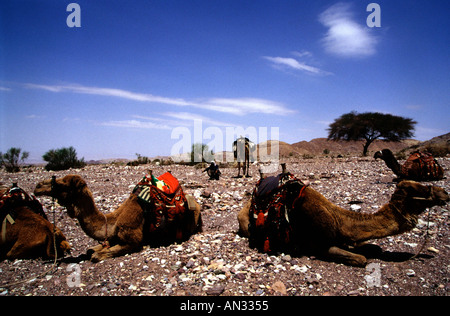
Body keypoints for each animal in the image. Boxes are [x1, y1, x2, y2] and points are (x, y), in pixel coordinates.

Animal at [34, 173, 203, 262]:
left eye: (63, 184)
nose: (37, 187)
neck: (112, 222)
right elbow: (91, 249)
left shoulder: (131, 238)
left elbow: (96, 255)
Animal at [237, 178, 448, 266]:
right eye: (420, 189)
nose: (445, 193)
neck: (341, 222)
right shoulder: (319, 245)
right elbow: (361, 259)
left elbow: (372, 248)